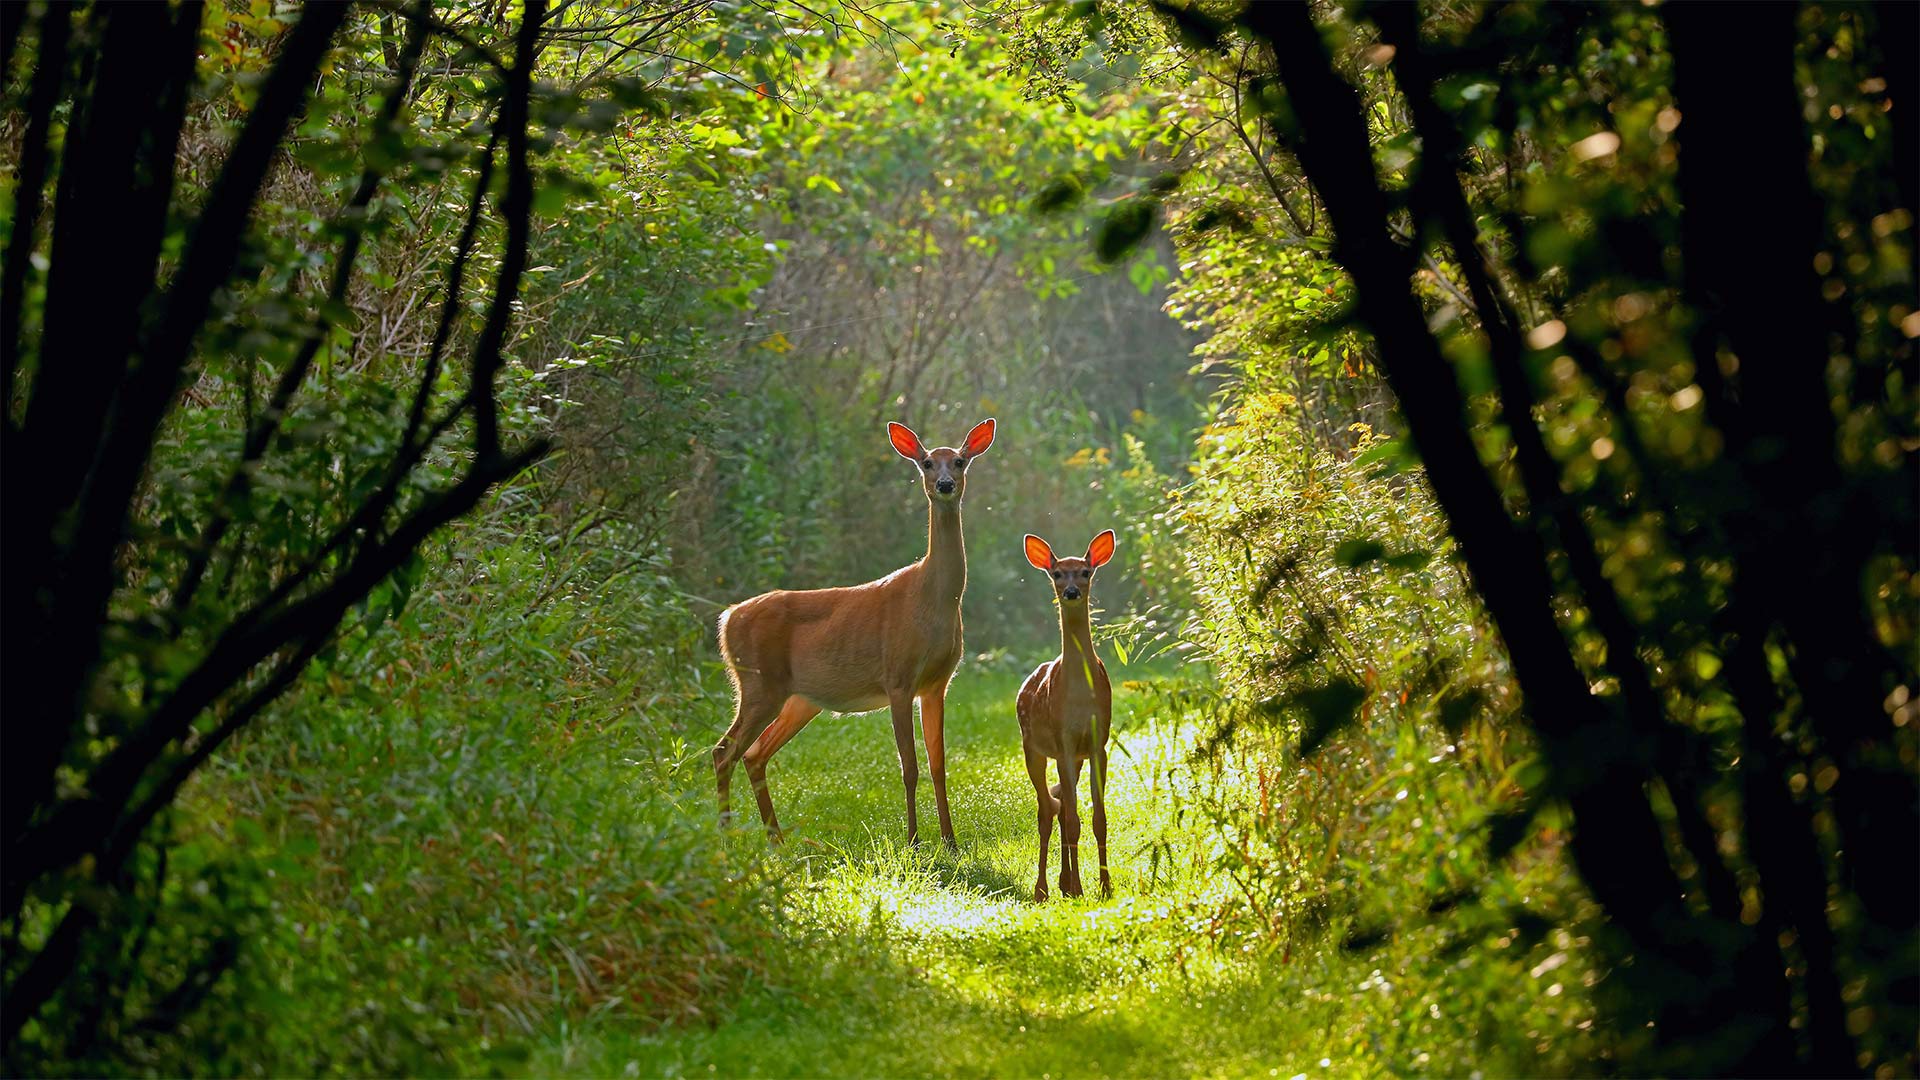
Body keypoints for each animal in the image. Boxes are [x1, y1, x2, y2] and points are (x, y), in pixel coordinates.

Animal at [714, 417, 998, 845]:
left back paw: (775, 840)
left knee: (753, 754)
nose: (946, 485)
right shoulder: (898, 676)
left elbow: (938, 765)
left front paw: (951, 842)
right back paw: (728, 838)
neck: (932, 601)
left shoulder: (937, 684)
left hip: (799, 698)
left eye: (960, 461)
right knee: (724, 751)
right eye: (927, 463)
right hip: (759, 683)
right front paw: (914, 841)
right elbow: (909, 767)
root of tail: (728, 618)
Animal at [1013, 530, 1121, 899]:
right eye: (1057, 573)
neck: (1079, 697)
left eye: (1085, 572)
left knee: (1059, 807)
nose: (1071, 592)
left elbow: (1098, 820)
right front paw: (1081, 886)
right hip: (1032, 747)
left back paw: (1065, 883)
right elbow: (1074, 819)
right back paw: (1044, 889)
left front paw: (1104, 886)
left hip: (1072, 756)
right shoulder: (1063, 740)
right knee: (1048, 809)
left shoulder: (1097, 743)